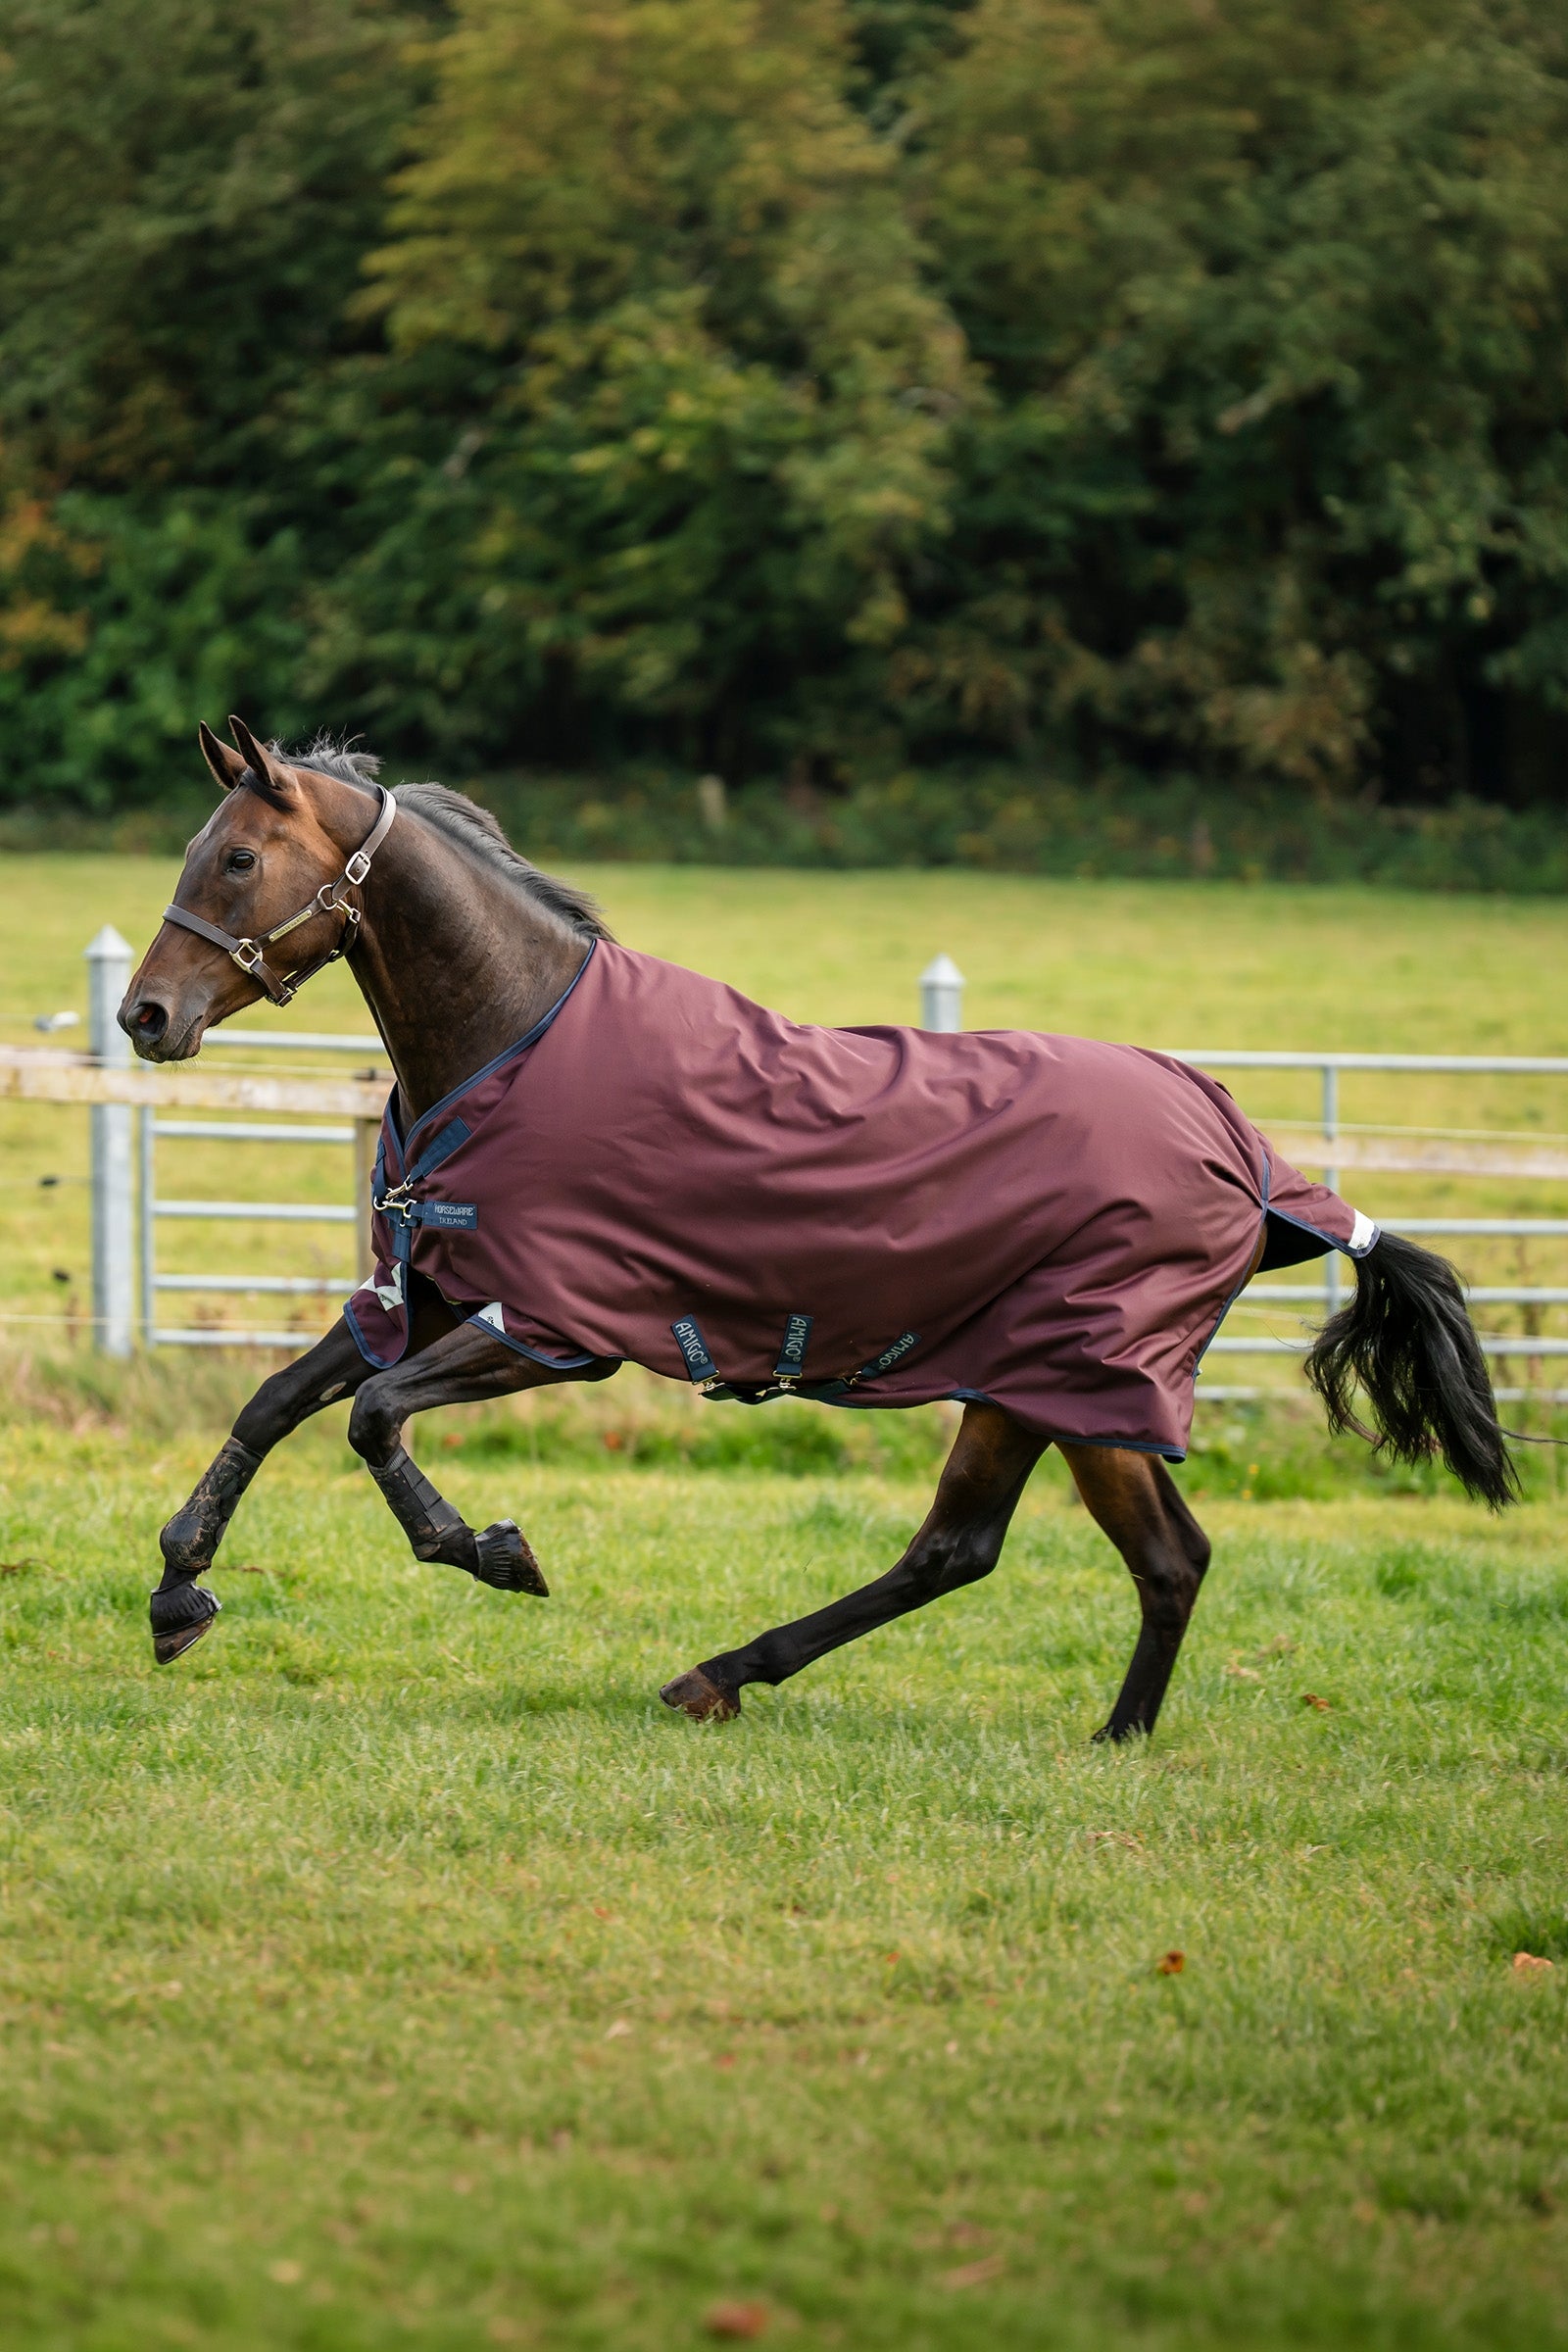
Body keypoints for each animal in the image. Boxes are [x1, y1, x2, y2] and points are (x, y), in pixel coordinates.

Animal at [119, 720, 1515, 1736]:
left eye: (235, 859)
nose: (144, 1016)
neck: (517, 1033)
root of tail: (1250, 1159)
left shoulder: (558, 1328)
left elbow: (370, 1417)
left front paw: (489, 1549)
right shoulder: (436, 1293)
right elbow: (277, 1402)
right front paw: (180, 1587)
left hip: (1072, 1375)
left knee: (1071, 1554)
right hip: (1041, 1389)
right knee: (1039, 1553)